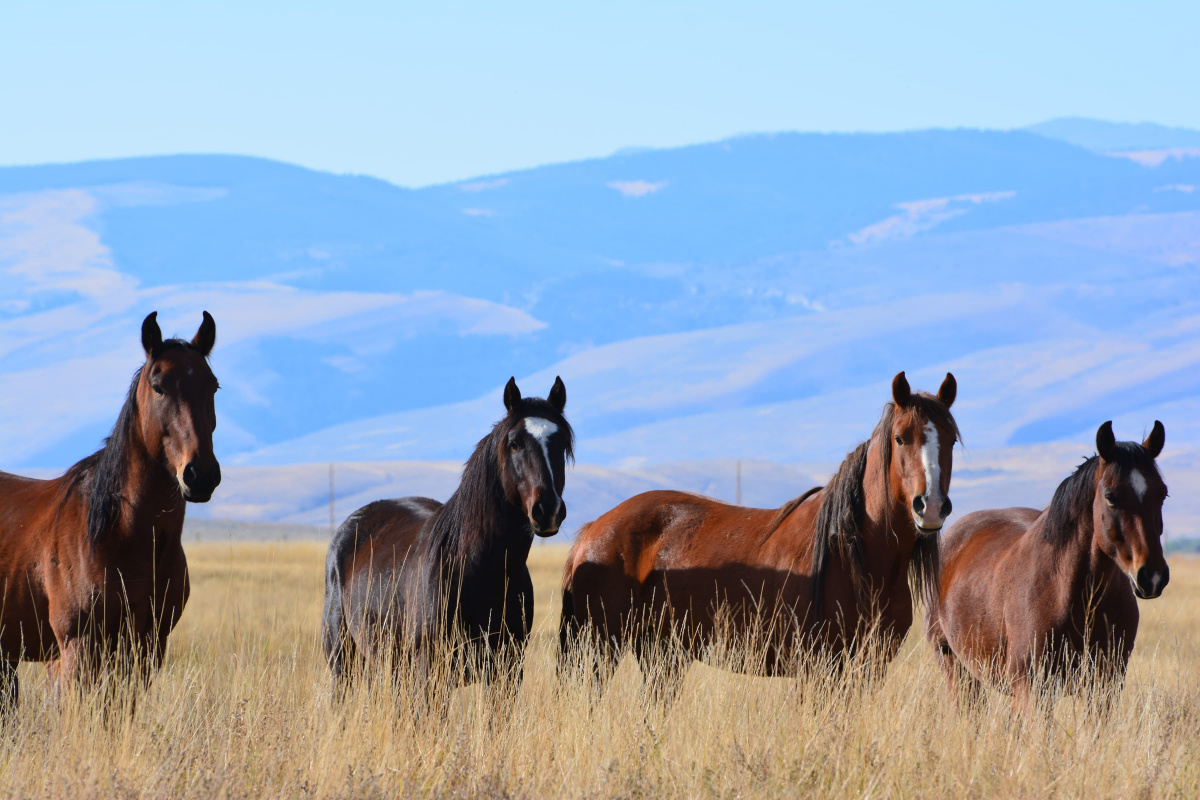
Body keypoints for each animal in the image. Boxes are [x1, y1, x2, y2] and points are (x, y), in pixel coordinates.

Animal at [0, 311, 220, 714]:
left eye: (212, 386)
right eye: (158, 386)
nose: (200, 475)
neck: (122, 535)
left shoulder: (147, 647)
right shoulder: (77, 649)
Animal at [324, 376, 576, 700]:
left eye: (562, 444)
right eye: (514, 444)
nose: (547, 510)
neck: (478, 569)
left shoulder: (507, 671)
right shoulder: (431, 671)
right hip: (343, 660)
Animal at [556, 371, 960, 700]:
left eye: (951, 441)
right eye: (900, 438)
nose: (931, 506)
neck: (855, 557)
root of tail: (592, 531)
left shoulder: (868, 669)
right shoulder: (817, 669)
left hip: (662, 655)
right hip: (601, 650)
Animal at [921, 422, 1166, 710]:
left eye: (1162, 493)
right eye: (1111, 496)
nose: (1152, 576)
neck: (1069, 592)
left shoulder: (1105, 686)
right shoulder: (1032, 689)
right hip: (955, 667)